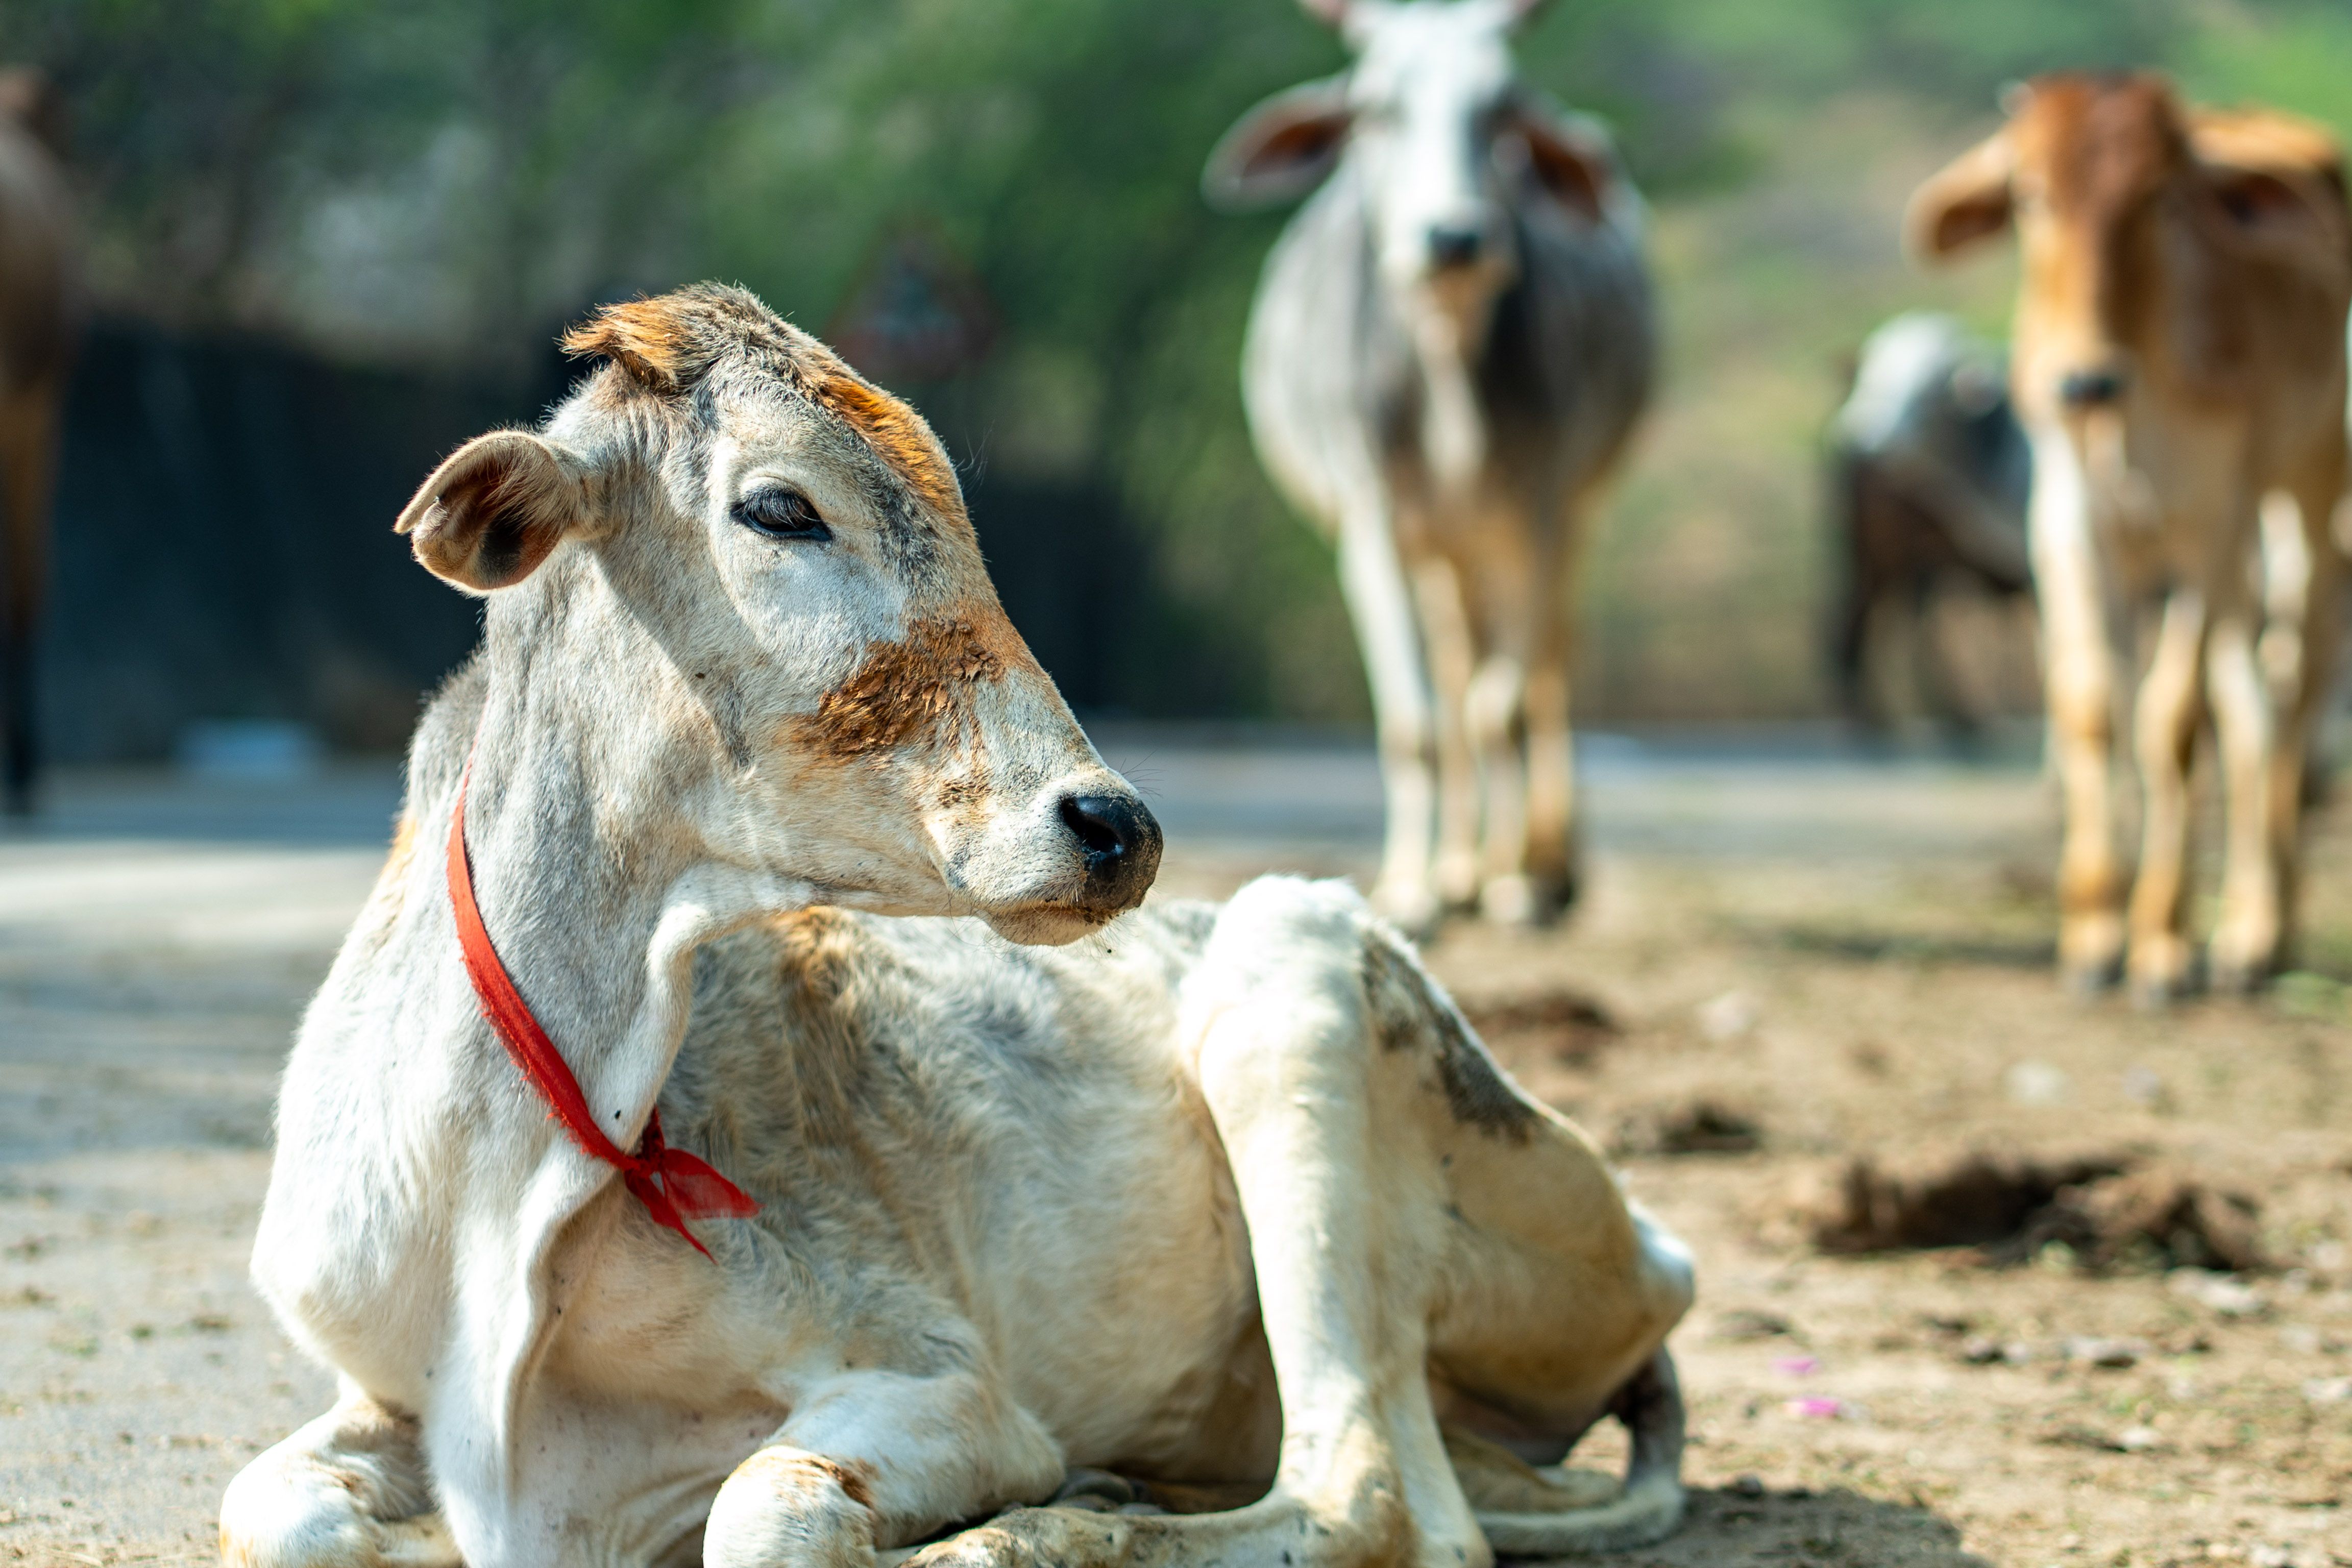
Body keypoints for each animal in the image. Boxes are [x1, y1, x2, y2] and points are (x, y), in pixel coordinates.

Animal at [218, 286, 1695, 1568]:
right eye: (777, 506)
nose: (1114, 824)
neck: (516, 1172)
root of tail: (1661, 1256)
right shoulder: (385, 1394)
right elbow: (269, 1509)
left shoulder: (942, 1381)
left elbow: (766, 1512)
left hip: (1298, 972)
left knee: (1374, 1499)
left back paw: (1044, 1525)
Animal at [1204, 0, 1653, 934]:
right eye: (1376, 109)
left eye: (1502, 110)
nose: (1453, 236)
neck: (1446, 366)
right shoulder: (1372, 520)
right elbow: (1415, 720)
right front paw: (1412, 887)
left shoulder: (1539, 512)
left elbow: (1504, 706)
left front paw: (1516, 884)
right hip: (1440, 549)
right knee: (1452, 674)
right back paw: (1455, 869)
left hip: (1568, 515)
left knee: (1547, 663)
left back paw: (1544, 867)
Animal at [1907, 75, 2352, 1000]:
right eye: (2027, 195)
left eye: (2161, 199)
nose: (2085, 381)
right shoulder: (2069, 523)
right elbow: (2089, 707)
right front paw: (2092, 935)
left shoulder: (2207, 528)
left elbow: (2171, 724)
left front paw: (2159, 943)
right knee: (2246, 699)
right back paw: (2240, 933)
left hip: (2307, 483)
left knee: (2295, 677)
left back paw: (2264, 929)